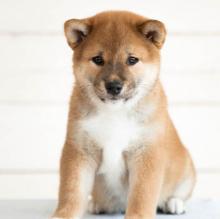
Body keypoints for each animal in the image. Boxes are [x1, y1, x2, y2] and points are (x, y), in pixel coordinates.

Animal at [52, 10, 196, 219]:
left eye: (132, 60)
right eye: (98, 60)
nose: (113, 86)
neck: (115, 113)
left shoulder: (146, 153)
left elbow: (141, 197)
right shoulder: (79, 149)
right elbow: (71, 192)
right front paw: (63, 214)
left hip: (186, 170)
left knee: (180, 193)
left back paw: (173, 203)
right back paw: (98, 204)